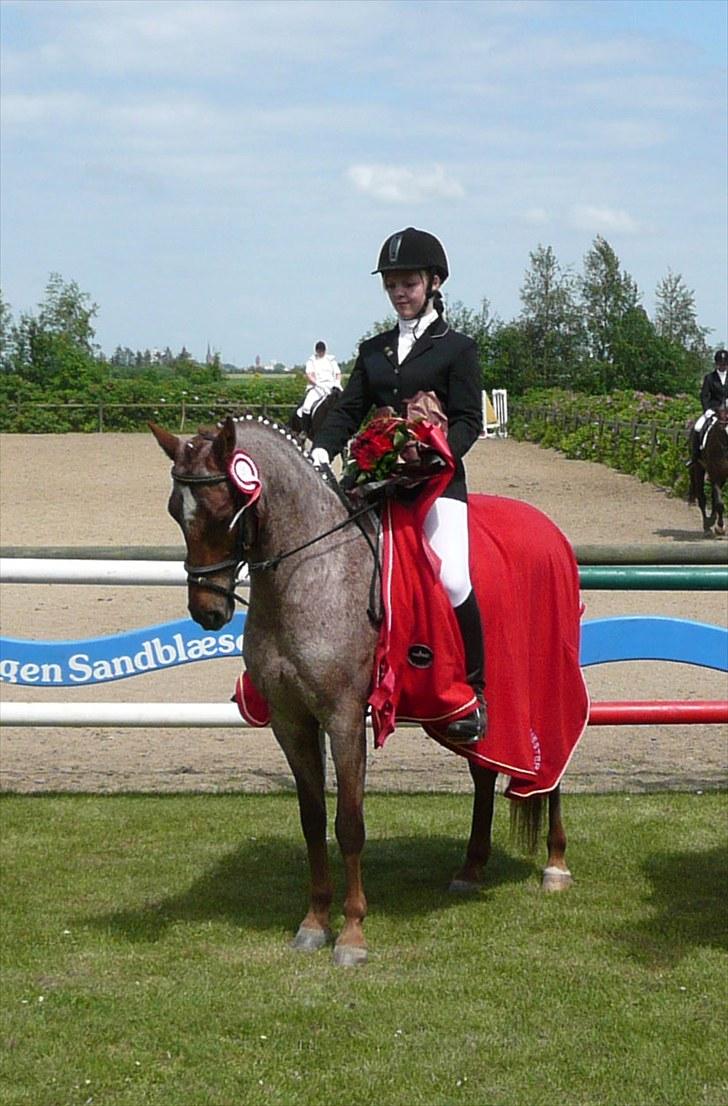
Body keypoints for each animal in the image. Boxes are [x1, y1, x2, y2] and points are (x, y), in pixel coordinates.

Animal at [150, 415, 575, 968]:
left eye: (227, 510)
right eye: (175, 510)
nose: (207, 612)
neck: (311, 574)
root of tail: (548, 527)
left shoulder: (344, 718)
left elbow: (349, 823)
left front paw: (351, 935)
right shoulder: (291, 721)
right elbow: (313, 819)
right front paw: (313, 923)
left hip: (544, 686)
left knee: (553, 771)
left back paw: (556, 865)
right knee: (484, 772)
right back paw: (470, 869)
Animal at [685, 411, 725, 539]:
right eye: (722, 429)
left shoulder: (723, 474)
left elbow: (716, 499)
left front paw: (716, 523)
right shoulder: (714, 472)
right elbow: (719, 502)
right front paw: (720, 527)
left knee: (711, 497)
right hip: (699, 468)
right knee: (701, 497)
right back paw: (707, 527)